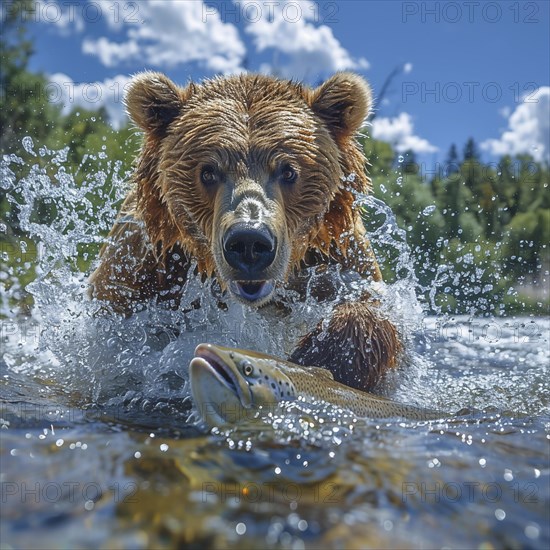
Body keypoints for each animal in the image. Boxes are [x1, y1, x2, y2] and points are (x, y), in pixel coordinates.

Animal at [88, 72, 404, 392]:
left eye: (288, 171)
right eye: (208, 171)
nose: (249, 242)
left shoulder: (337, 253)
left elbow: (373, 310)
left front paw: (320, 357)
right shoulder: (144, 264)